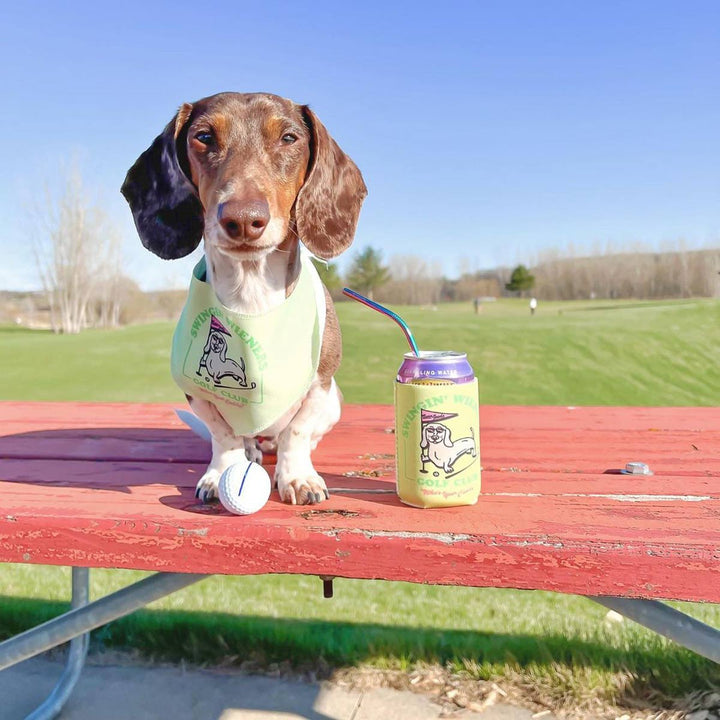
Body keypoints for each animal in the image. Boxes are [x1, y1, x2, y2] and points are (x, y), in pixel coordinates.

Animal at [122, 93, 366, 504]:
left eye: (288, 138)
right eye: (204, 136)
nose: (242, 219)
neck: (250, 292)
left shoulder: (321, 383)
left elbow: (297, 431)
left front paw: (298, 476)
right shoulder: (196, 392)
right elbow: (224, 435)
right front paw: (221, 472)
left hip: (335, 402)